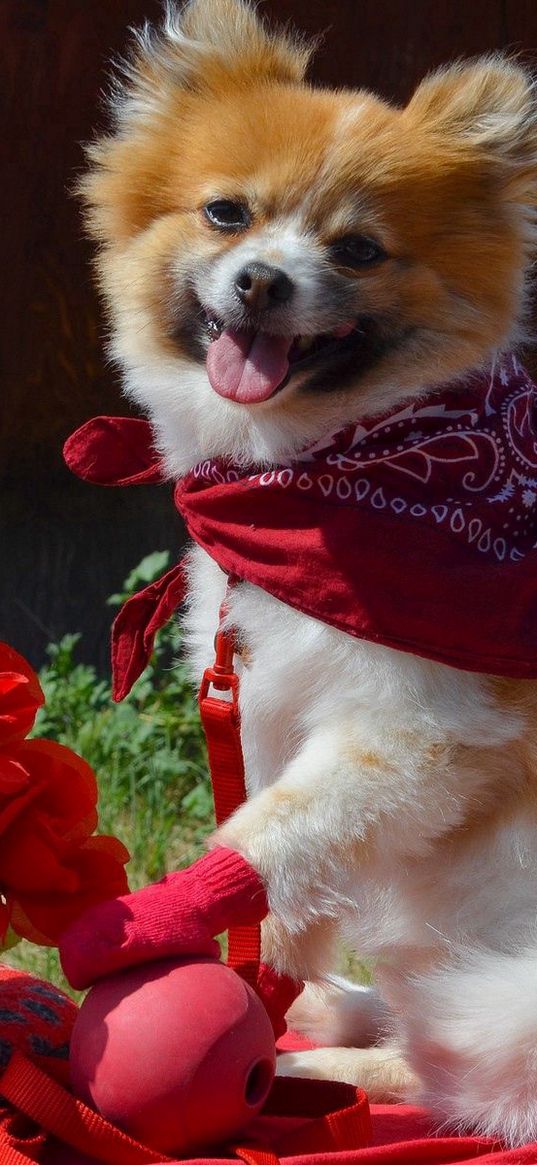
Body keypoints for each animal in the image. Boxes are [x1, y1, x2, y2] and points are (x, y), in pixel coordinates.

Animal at [79, 0, 537, 1141]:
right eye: (225, 214)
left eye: (360, 248)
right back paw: (338, 1013)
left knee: (465, 1075)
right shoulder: (264, 703)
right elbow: (292, 882)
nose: (261, 279)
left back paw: (353, 1064)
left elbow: (269, 833)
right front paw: (266, 983)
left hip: (507, 998)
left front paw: (158, 913)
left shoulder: (417, 732)